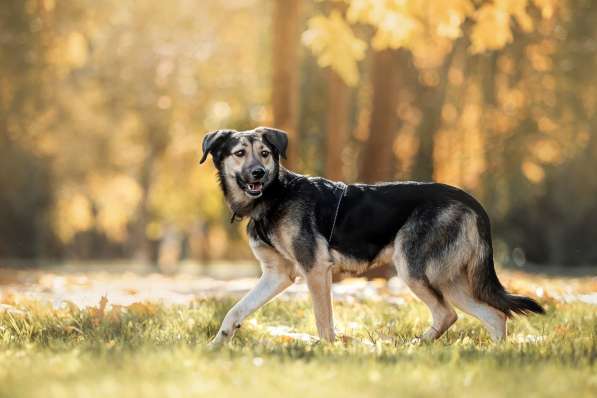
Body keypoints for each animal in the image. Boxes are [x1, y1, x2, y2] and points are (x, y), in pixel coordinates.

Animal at [199, 126, 540, 346]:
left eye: (265, 154)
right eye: (239, 153)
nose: (257, 173)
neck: (274, 196)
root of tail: (470, 201)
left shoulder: (315, 270)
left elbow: (323, 321)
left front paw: (326, 352)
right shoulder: (277, 275)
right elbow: (236, 309)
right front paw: (216, 345)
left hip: (414, 269)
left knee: (447, 314)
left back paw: (413, 347)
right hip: (449, 280)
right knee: (494, 316)